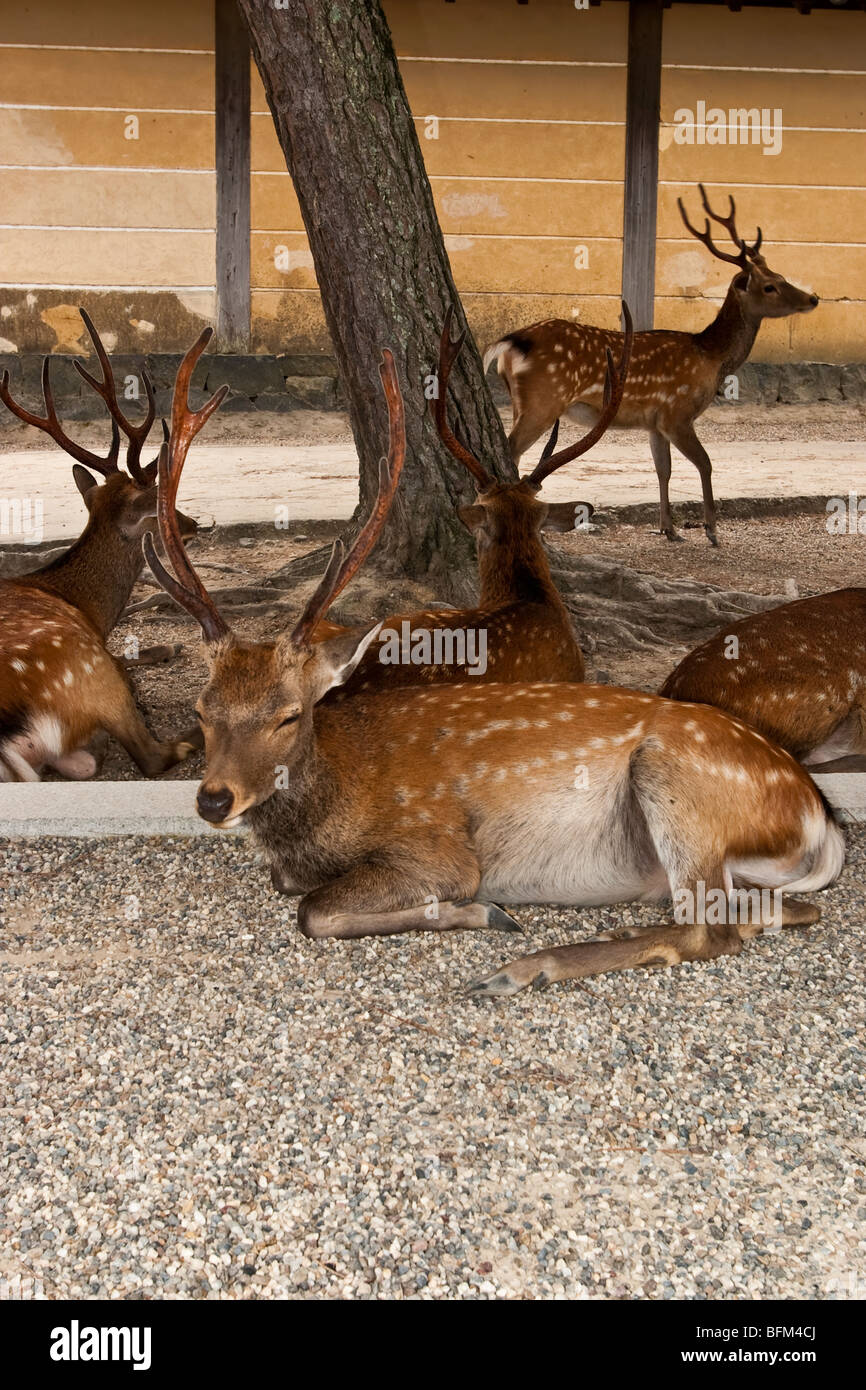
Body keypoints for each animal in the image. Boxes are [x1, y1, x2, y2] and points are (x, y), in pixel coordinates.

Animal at [0, 307, 208, 783]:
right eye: (160, 505)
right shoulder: (100, 652)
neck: (84, 605)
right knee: (151, 755)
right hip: (86, 670)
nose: (194, 524)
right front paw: (170, 647)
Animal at [143, 333, 845, 1000]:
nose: (213, 799)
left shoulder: (435, 847)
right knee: (784, 911)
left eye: (290, 714)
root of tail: (819, 816)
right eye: (201, 711)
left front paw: (484, 913)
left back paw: (523, 967)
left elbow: (314, 910)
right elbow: (295, 893)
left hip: (678, 783)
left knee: (710, 927)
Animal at [489, 183, 817, 547]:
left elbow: (663, 469)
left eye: (781, 275)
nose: (813, 298)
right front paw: (712, 530)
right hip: (544, 399)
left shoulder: (655, 422)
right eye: (769, 286)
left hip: (522, 400)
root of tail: (513, 342)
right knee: (510, 447)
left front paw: (669, 529)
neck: (710, 357)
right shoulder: (677, 412)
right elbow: (705, 463)